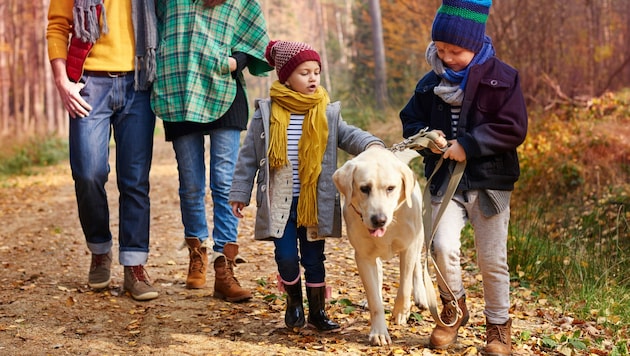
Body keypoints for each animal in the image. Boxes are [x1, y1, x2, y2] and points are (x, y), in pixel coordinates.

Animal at [334, 146, 428, 346]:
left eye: (391, 188)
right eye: (364, 188)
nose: (379, 220)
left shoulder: (408, 247)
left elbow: (405, 284)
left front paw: (401, 312)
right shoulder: (363, 257)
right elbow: (374, 300)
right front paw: (379, 332)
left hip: (419, 236)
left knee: (416, 265)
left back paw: (421, 296)